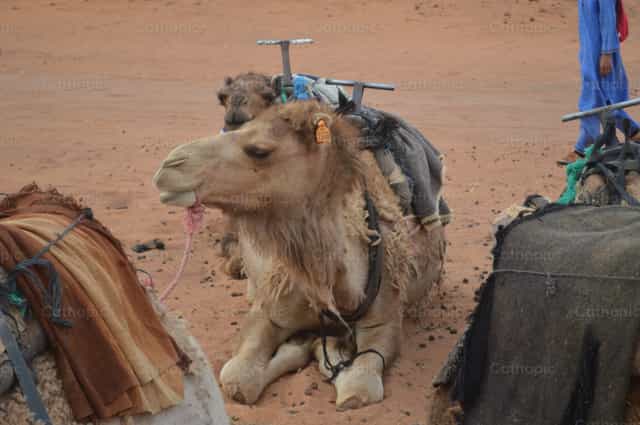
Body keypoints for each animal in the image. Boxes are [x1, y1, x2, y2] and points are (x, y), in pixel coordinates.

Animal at [153, 101, 446, 409]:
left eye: (259, 150)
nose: (169, 166)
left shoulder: (385, 318)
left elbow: (359, 390)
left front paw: (329, 351)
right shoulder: (270, 309)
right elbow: (237, 379)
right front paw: (308, 346)